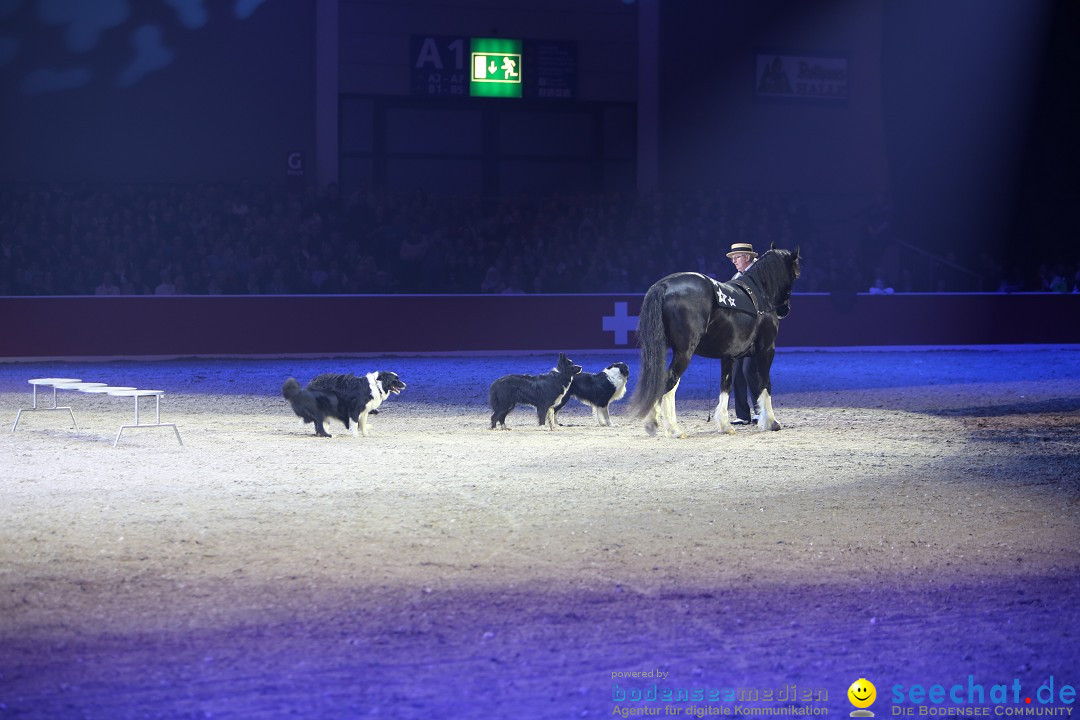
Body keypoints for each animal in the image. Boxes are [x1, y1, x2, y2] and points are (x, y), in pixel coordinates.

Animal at [630, 248, 799, 436]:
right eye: (794, 272)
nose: (785, 310)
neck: (760, 294)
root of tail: (664, 285)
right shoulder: (766, 349)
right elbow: (764, 382)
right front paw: (771, 422)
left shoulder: (729, 356)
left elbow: (726, 385)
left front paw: (725, 425)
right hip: (684, 352)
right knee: (670, 381)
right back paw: (672, 429)